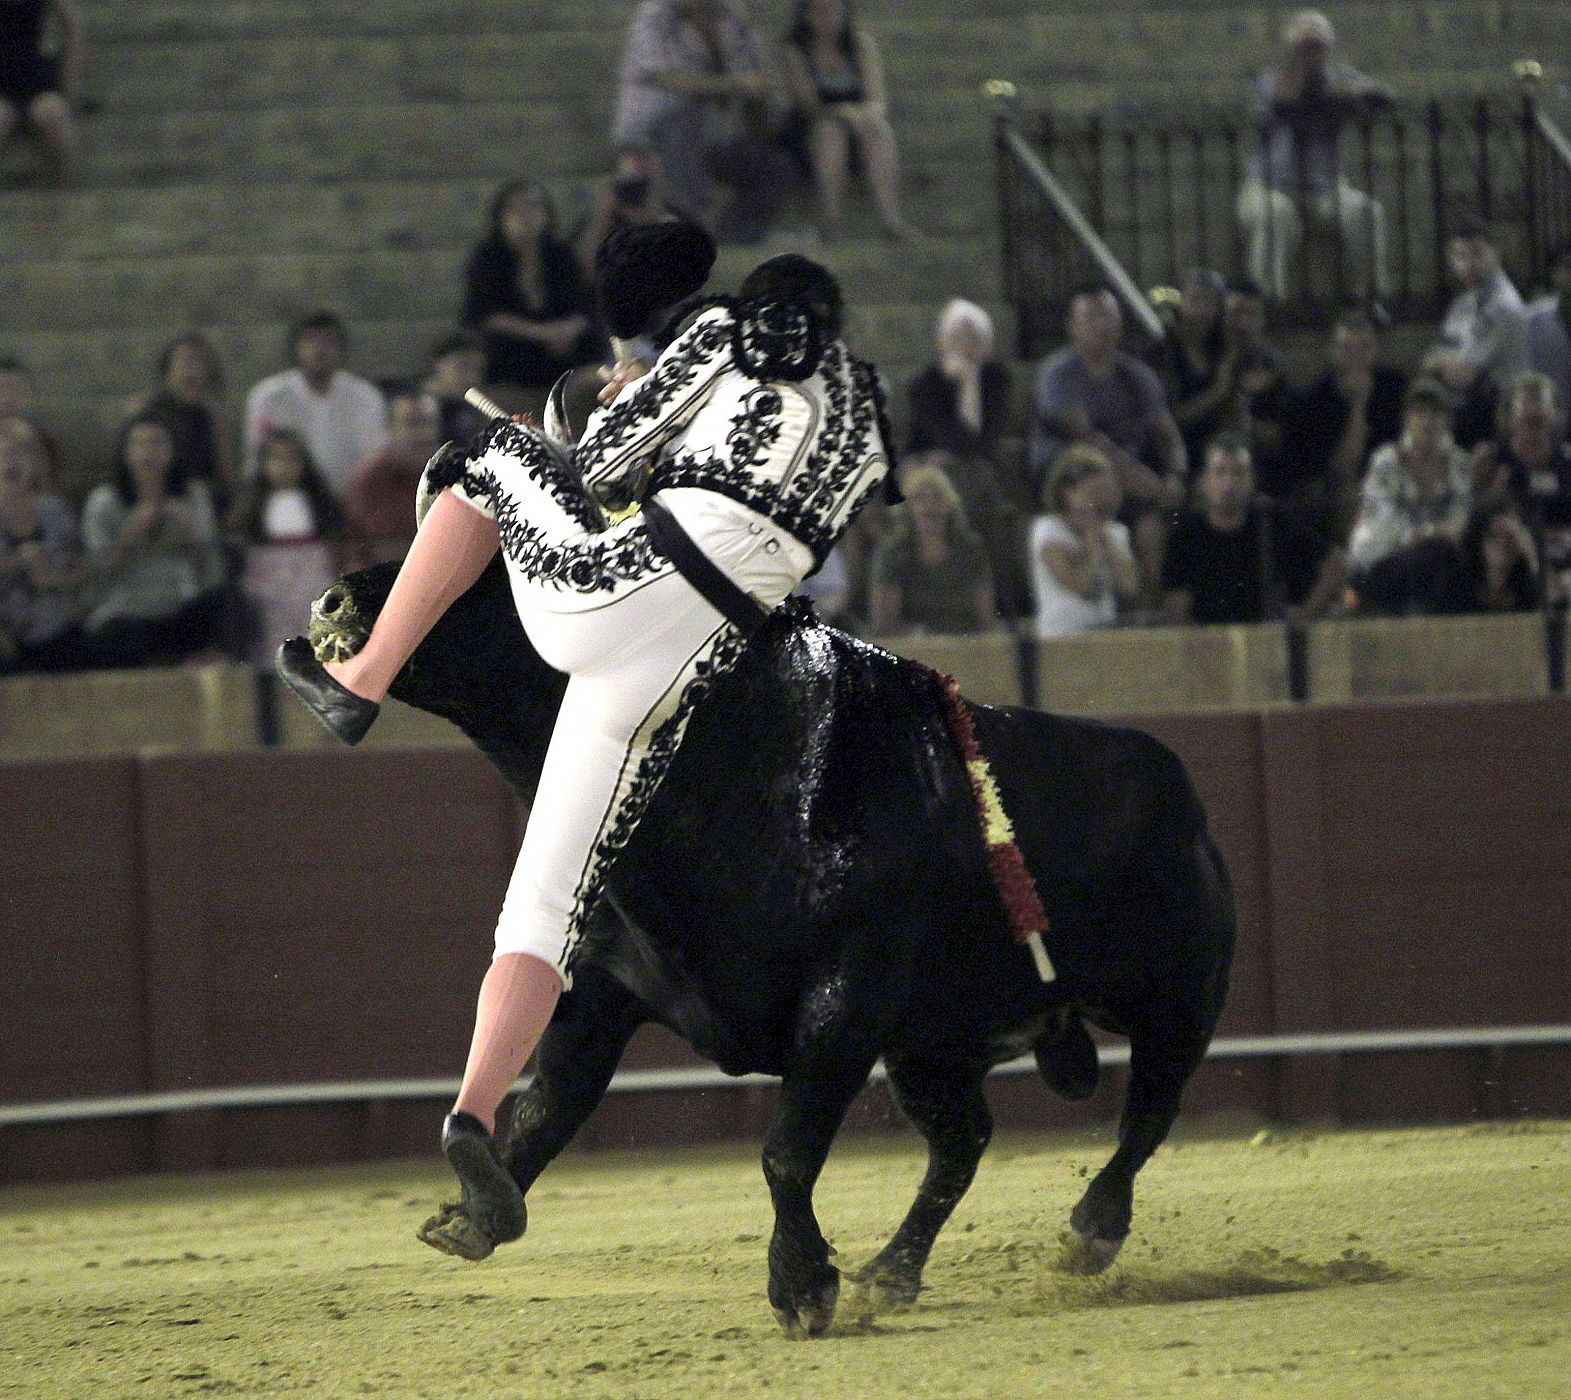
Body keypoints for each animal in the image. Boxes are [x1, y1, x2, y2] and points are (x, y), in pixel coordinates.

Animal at [309, 556, 1237, 1338]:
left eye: (494, 569)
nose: (332, 601)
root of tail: (1178, 785)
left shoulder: (843, 1002)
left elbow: (785, 1150)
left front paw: (799, 1288)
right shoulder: (602, 994)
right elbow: (547, 1107)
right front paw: (472, 1216)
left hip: (1176, 998)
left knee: (1148, 1110)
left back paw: (1089, 1232)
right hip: (931, 1045)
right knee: (962, 1143)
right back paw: (890, 1273)